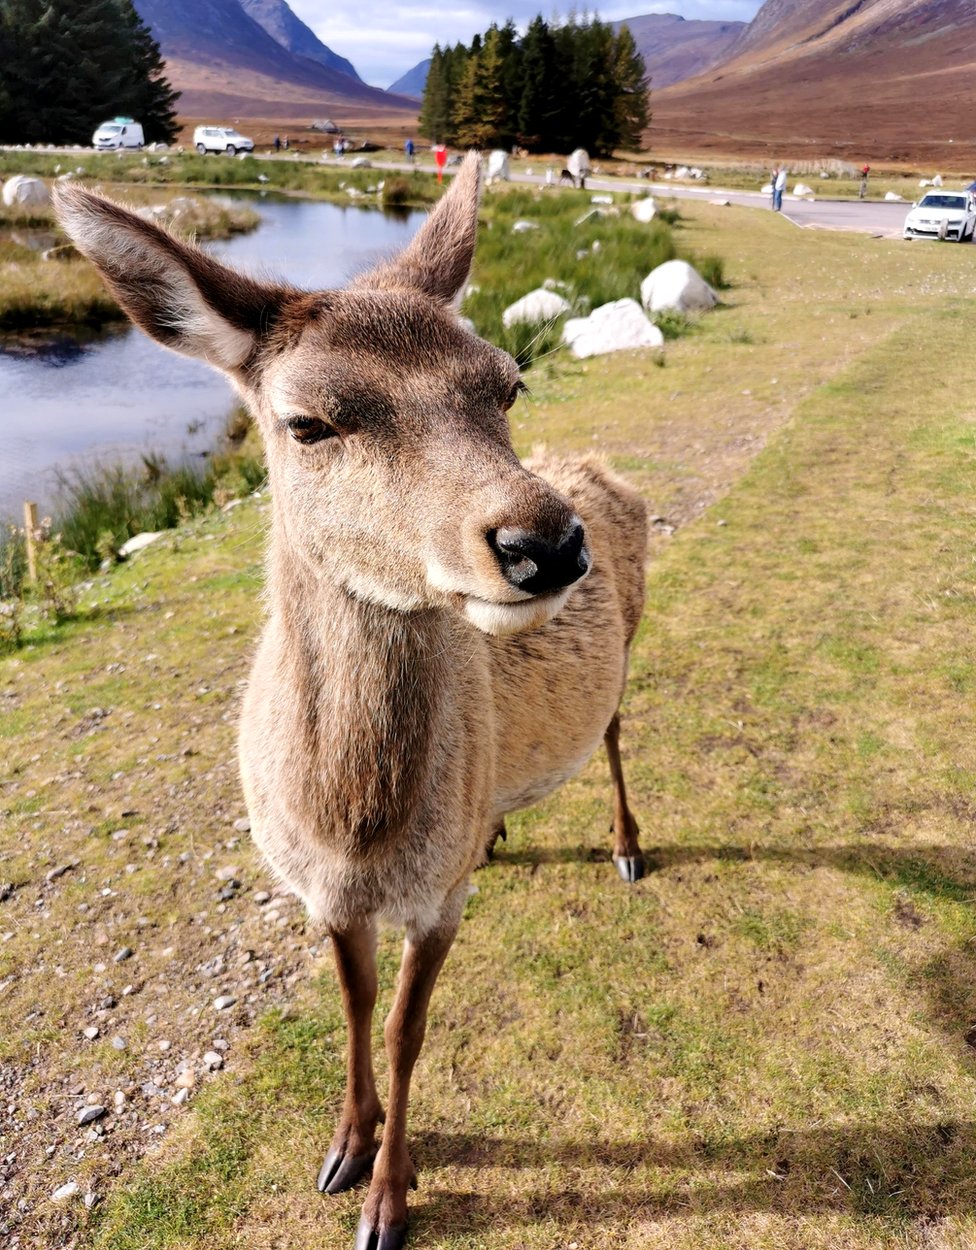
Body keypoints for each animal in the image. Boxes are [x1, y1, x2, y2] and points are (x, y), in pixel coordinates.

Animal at [55, 156, 644, 1250]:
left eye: (507, 381)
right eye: (308, 421)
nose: (545, 542)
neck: (353, 829)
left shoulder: (436, 899)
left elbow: (410, 1028)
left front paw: (389, 1195)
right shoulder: (314, 889)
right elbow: (355, 1001)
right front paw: (344, 1144)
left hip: (633, 642)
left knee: (622, 728)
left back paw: (628, 843)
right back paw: (501, 827)